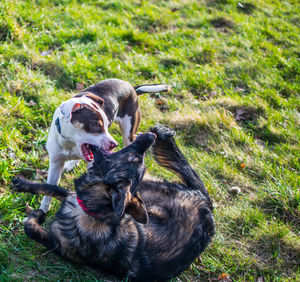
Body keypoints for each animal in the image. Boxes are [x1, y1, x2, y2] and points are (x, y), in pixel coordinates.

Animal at [11, 125, 213, 282]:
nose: (151, 137)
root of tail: (206, 202)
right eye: (137, 160)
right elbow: (50, 187)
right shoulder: (72, 197)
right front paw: (23, 184)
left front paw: (36, 215)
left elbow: (30, 228)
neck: (92, 212)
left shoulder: (60, 247)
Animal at [40, 78, 170, 213]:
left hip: (128, 134)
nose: (114, 144)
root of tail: (131, 87)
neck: (71, 142)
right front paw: (42, 211)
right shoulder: (55, 163)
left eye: (107, 124)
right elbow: (48, 192)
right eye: (94, 124)